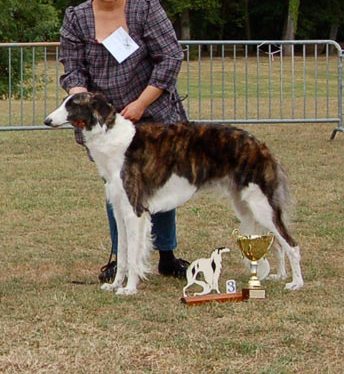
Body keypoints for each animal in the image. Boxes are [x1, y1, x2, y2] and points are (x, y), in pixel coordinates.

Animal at [45, 93, 304, 296]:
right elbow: (123, 254)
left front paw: (129, 288)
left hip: (260, 205)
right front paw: (115, 284)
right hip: (247, 206)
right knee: (277, 243)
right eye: (65, 102)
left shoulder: (135, 211)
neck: (112, 138)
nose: (46, 120)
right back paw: (281, 276)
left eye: (72, 104)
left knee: (291, 244)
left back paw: (296, 283)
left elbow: (133, 255)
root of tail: (261, 146)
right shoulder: (119, 209)